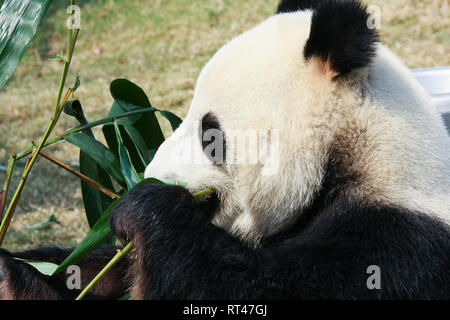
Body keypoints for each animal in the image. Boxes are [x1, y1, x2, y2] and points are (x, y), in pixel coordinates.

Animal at [0, 0, 450, 300]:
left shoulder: (396, 247)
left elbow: (232, 286)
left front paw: (146, 209)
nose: (151, 175)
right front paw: (13, 275)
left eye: (210, 135)